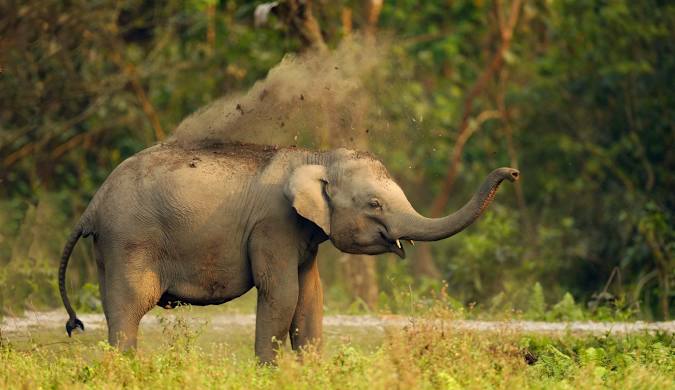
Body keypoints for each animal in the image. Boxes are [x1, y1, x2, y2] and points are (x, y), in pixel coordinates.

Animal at [59, 140, 524, 362]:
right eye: (374, 204)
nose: (515, 172)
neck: (315, 156)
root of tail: (92, 204)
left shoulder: (303, 234)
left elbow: (310, 298)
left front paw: (314, 369)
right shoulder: (273, 225)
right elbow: (281, 295)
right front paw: (270, 371)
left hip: (109, 247)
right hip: (129, 241)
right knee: (129, 308)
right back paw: (129, 366)